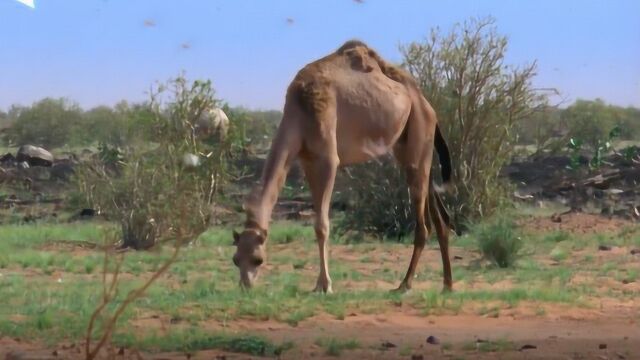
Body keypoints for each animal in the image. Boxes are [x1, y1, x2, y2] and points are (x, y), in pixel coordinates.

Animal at [232, 40, 452, 292]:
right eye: (236, 259)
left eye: (258, 259)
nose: (245, 286)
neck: (301, 110)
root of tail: (428, 107)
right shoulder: (307, 159)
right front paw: (321, 283)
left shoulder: (328, 158)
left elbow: (321, 225)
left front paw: (324, 285)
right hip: (410, 147)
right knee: (437, 210)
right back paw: (447, 284)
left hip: (419, 132)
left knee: (423, 223)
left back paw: (405, 284)